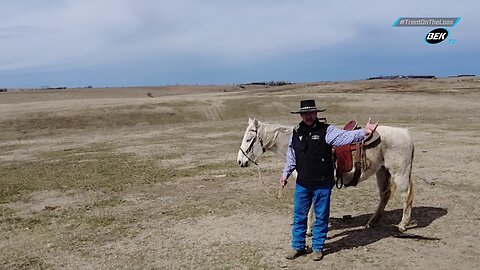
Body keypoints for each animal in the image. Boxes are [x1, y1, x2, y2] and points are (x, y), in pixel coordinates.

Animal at [238, 117, 414, 232]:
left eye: (248, 139)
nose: (240, 161)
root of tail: (405, 133)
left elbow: (310, 205)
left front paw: (309, 229)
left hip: (400, 173)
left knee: (406, 196)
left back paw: (402, 225)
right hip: (382, 171)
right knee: (384, 195)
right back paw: (373, 222)